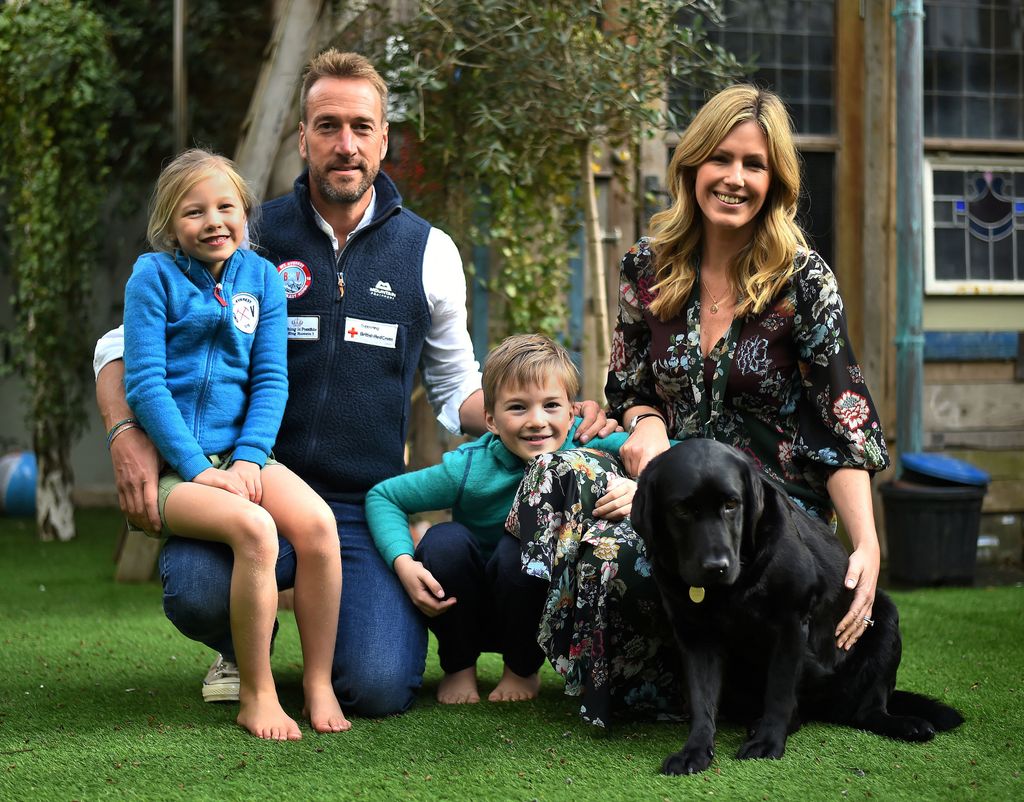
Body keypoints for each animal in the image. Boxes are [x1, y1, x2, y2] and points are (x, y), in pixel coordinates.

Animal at [630, 438, 958, 778]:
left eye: (732, 504)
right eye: (681, 509)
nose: (715, 567)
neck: (734, 586)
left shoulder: (790, 625)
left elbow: (779, 691)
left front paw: (768, 744)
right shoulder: (696, 637)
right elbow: (702, 700)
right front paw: (694, 751)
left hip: (884, 618)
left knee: (866, 710)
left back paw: (906, 724)